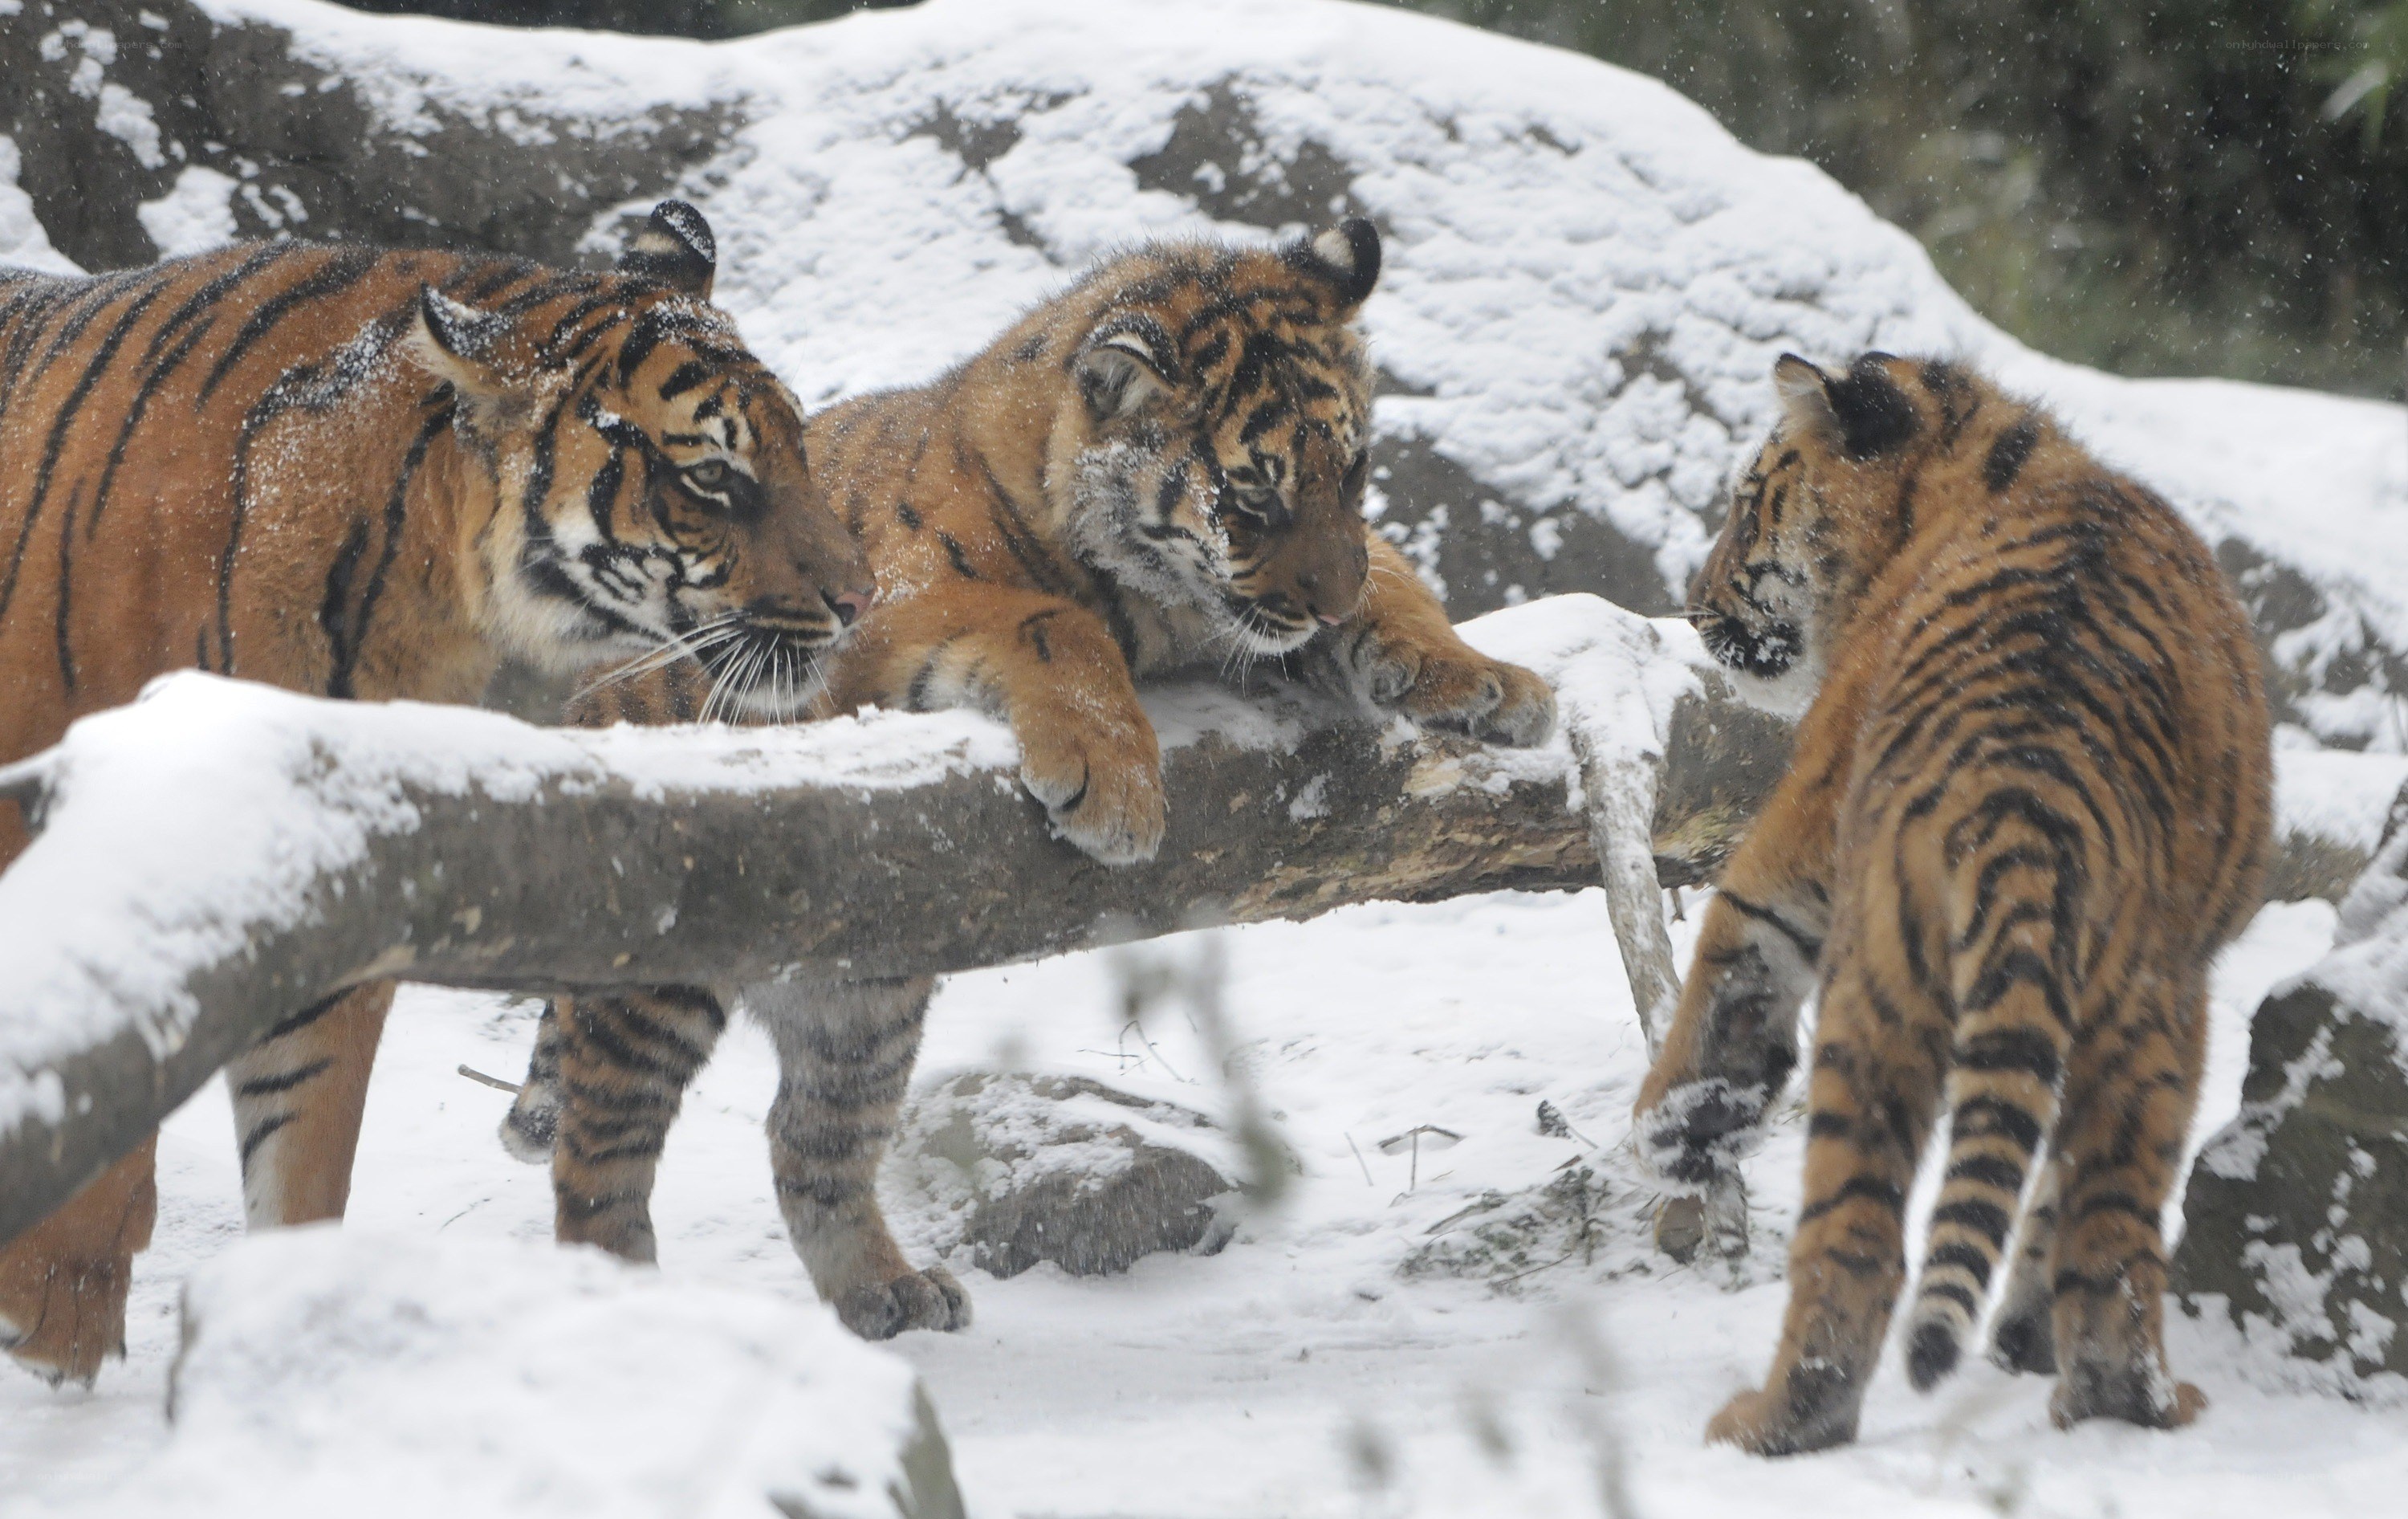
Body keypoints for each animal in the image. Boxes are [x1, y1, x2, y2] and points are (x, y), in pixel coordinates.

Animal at [0, 201, 874, 1385]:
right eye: (715, 481)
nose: (862, 599)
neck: (418, 586)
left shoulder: (328, 888)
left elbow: (303, 1143)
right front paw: (60, 1311)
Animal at [496, 220, 1559, 1340]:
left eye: (1353, 473)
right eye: (1254, 496)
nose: (1326, 604)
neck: (1168, 600)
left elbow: (1397, 579)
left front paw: (1490, 681)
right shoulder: (891, 609)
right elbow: (1056, 624)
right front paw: (1116, 791)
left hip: (866, 1001)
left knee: (811, 1137)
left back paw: (887, 1289)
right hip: (655, 977)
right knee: (600, 1158)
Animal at [1630, 353, 2271, 1454]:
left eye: (1749, 506)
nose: (1694, 603)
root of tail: (2030, 790)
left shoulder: (1801, 831)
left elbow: (1732, 950)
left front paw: (1673, 1125)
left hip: (1884, 993)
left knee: (1861, 1238)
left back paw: (1776, 1420)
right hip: (2152, 1016)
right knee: (2110, 1239)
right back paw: (2131, 1404)